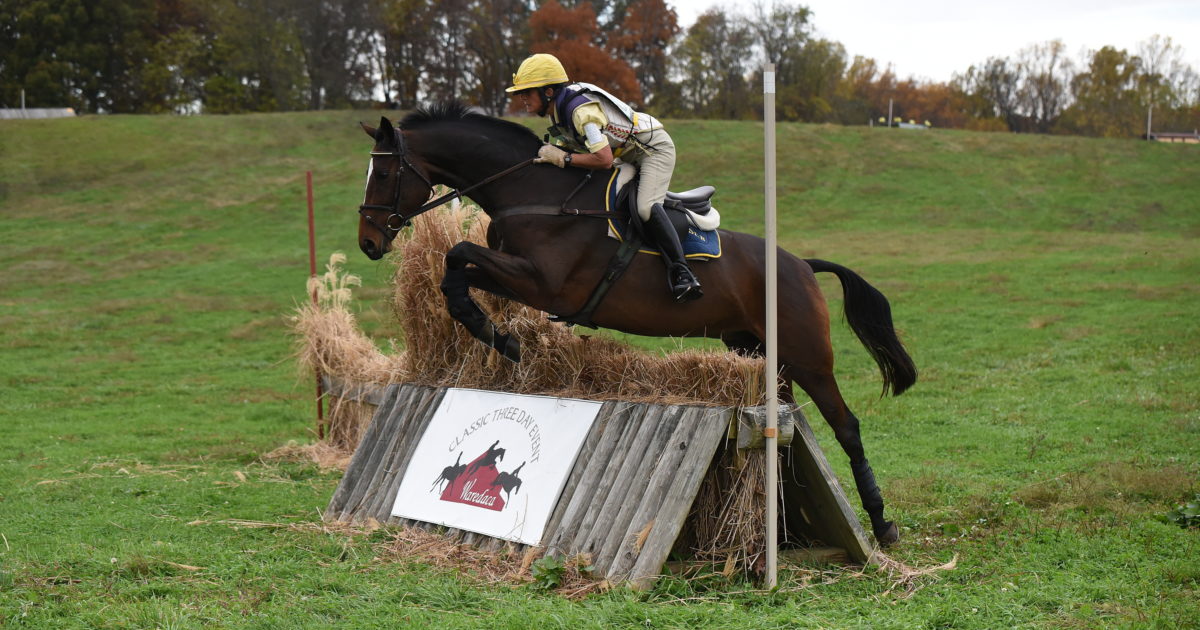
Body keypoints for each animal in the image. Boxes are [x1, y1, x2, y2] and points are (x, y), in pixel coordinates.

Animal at [355, 103, 916, 544]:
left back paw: (882, 523)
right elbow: (456, 268)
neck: (533, 190)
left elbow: (459, 254)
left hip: (808, 354)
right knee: (785, 420)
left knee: (846, 426)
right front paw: (495, 334)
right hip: (757, 352)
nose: (368, 242)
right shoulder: (515, 274)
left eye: (382, 175)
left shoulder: (544, 283)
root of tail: (800, 263)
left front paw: (502, 339)